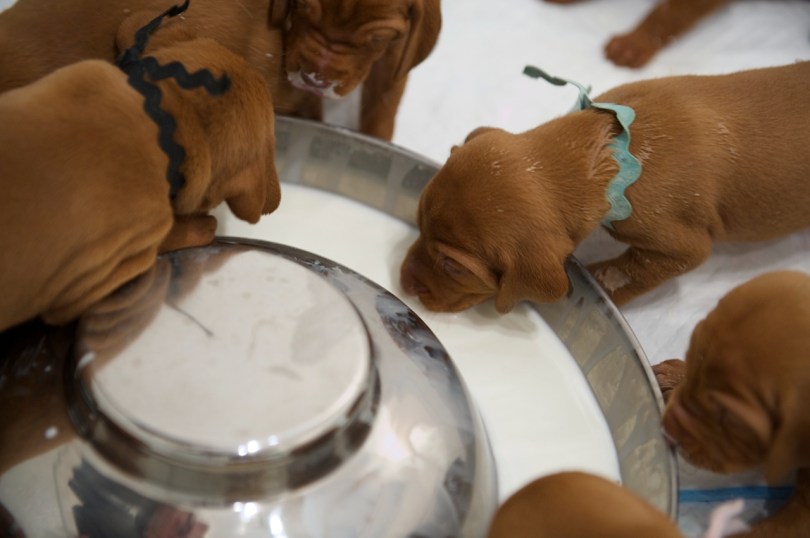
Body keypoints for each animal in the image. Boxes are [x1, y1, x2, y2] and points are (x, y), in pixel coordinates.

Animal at [399, 61, 810, 313]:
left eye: (453, 267)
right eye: (418, 226)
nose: (403, 283)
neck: (611, 147)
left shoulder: (676, 243)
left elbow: (627, 274)